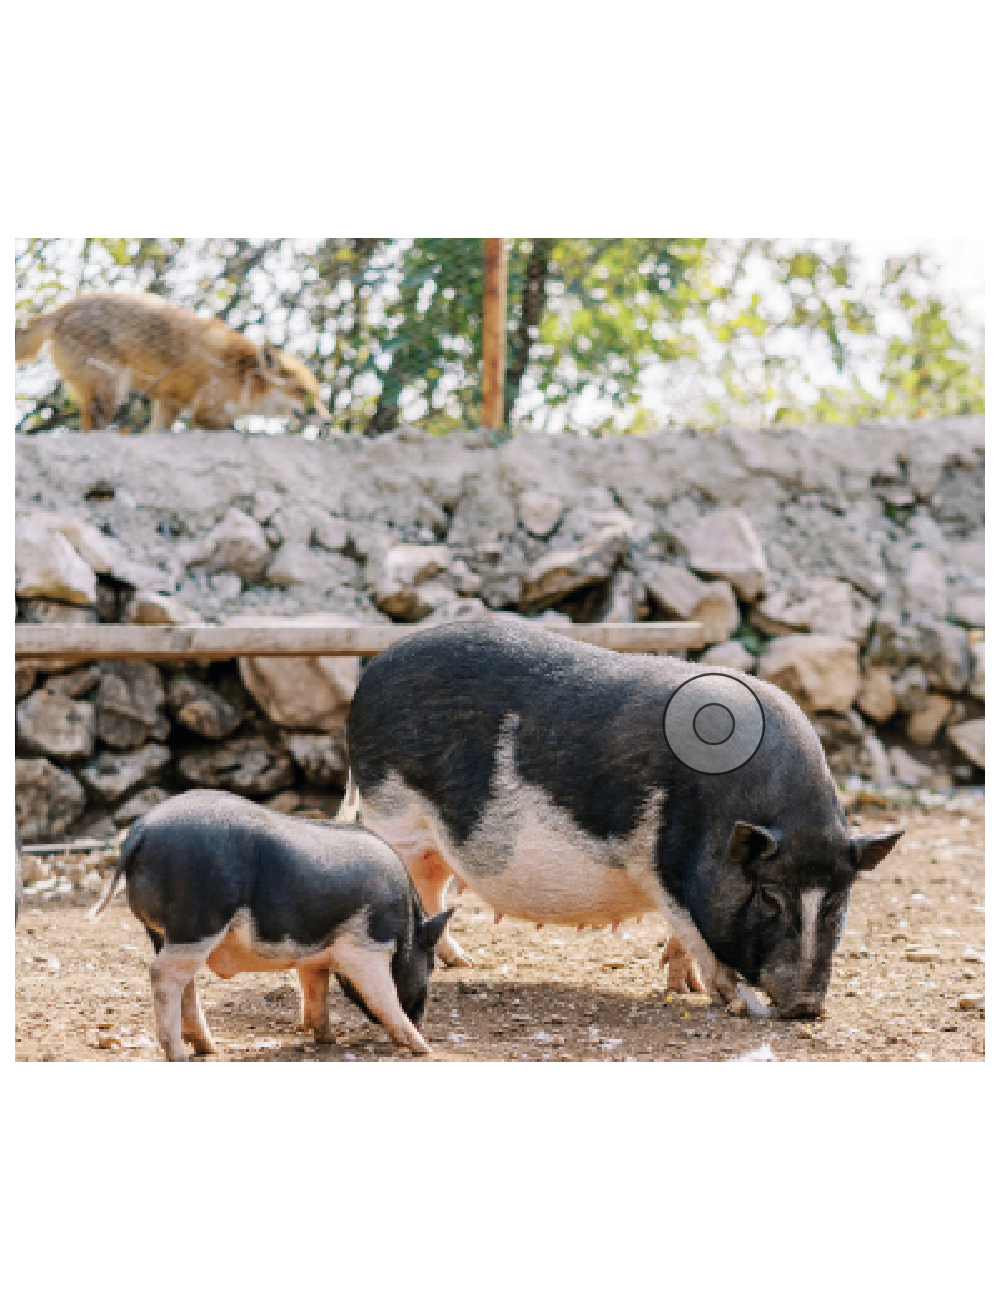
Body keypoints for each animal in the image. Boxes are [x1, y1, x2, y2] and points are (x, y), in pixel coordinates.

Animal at [88, 789, 452, 1060]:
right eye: (431, 963)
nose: (422, 1021)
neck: (406, 924)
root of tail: (140, 831)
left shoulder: (315, 956)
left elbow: (315, 989)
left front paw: (327, 1039)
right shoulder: (368, 946)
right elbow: (381, 994)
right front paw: (423, 1049)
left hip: (163, 932)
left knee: (183, 981)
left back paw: (208, 1048)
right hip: (198, 922)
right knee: (162, 974)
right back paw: (180, 1055)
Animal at [345, 620, 902, 1019]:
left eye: (838, 901)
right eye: (769, 896)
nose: (807, 1006)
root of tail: (371, 672)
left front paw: (684, 987)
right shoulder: (662, 867)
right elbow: (696, 931)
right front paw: (731, 1001)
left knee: (435, 887)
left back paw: (462, 962)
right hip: (391, 816)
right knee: (413, 886)